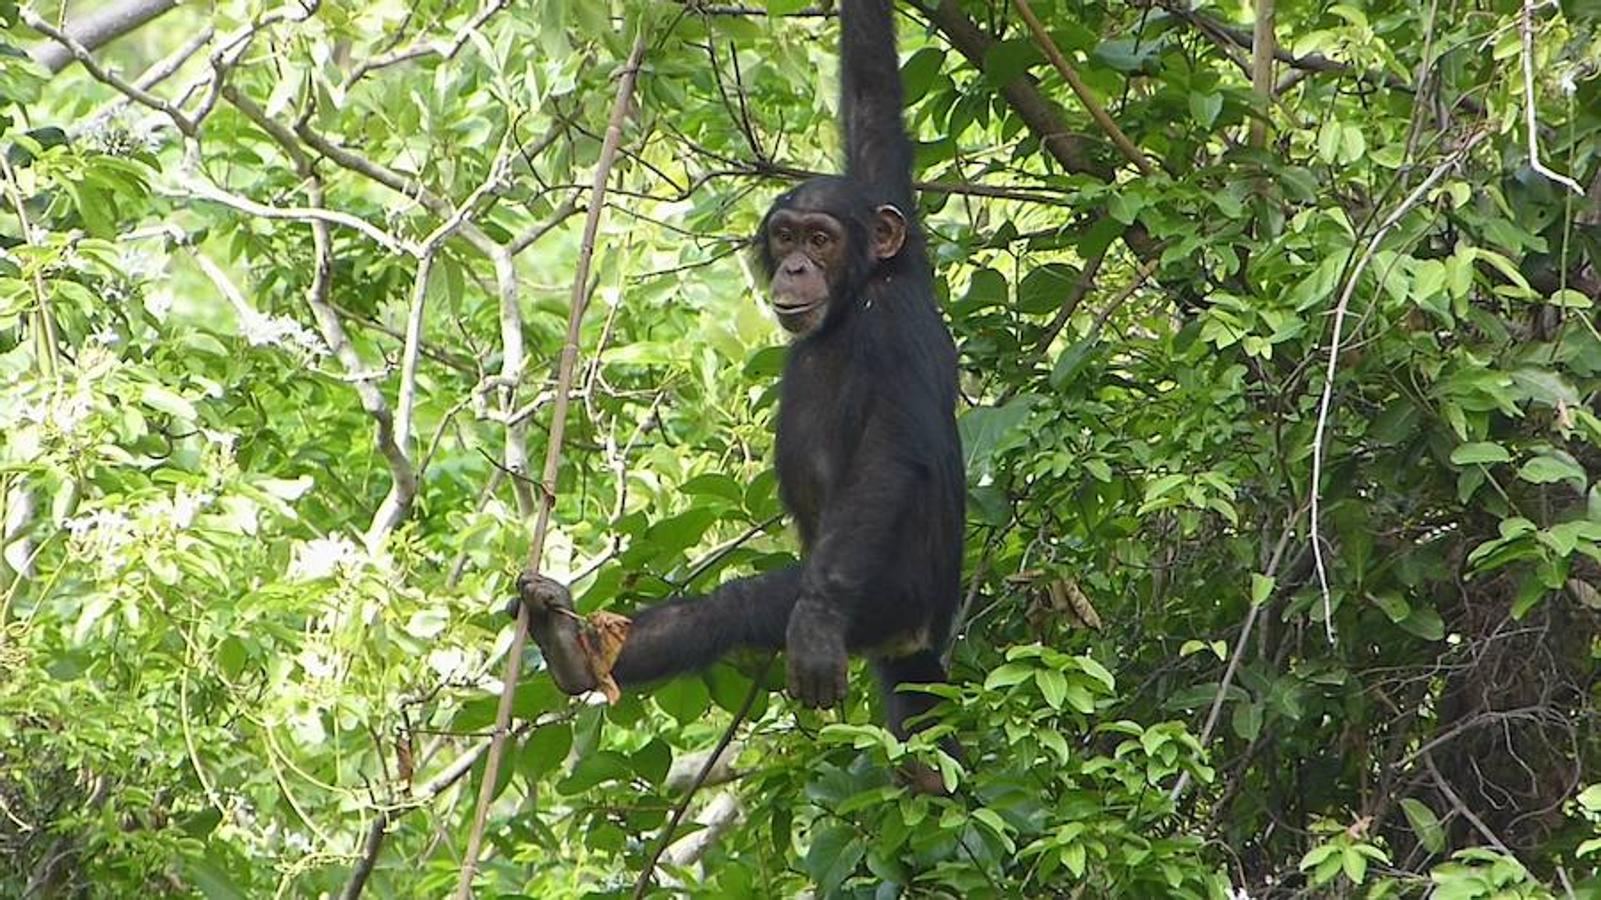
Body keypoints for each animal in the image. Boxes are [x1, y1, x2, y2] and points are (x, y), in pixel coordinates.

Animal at [515, 0, 960, 746]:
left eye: (821, 239)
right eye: (786, 236)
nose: (797, 266)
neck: (857, 299)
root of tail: (920, 635)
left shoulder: (894, 329)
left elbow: (888, 453)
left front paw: (815, 620)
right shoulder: (890, 205)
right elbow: (872, 103)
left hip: (889, 599)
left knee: (746, 605)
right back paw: (575, 648)